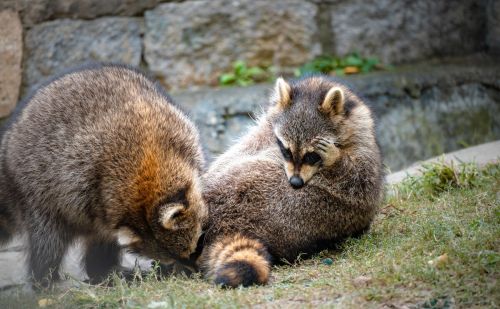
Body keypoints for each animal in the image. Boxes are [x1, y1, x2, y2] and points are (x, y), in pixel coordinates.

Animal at [0, 63, 207, 286]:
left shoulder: (185, 137)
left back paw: (104, 270)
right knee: (48, 237)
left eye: (195, 248)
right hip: (34, 186)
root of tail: (8, 141)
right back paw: (46, 279)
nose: (195, 272)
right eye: (183, 255)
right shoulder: (87, 181)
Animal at [199, 74, 382, 286]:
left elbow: (362, 185)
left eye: (312, 156)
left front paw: (334, 158)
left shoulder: (363, 139)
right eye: (286, 150)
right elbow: (242, 149)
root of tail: (224, 227)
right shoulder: (266, 127)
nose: (295, 183)